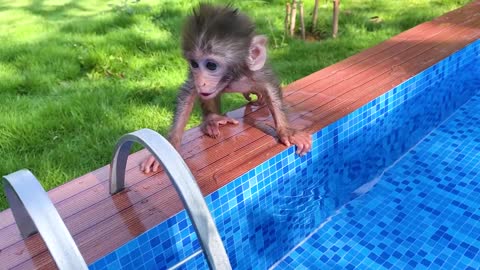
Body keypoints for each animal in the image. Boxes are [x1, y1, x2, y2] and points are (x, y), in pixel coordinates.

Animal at [140, 2, 312, 173]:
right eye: (194, 64)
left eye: (211, 65)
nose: (200, 81)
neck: (233, 78)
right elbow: (188, 93)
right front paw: (169, 146)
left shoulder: (257, 72)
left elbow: (270, 88)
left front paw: (287, 131)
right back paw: (213, 119)